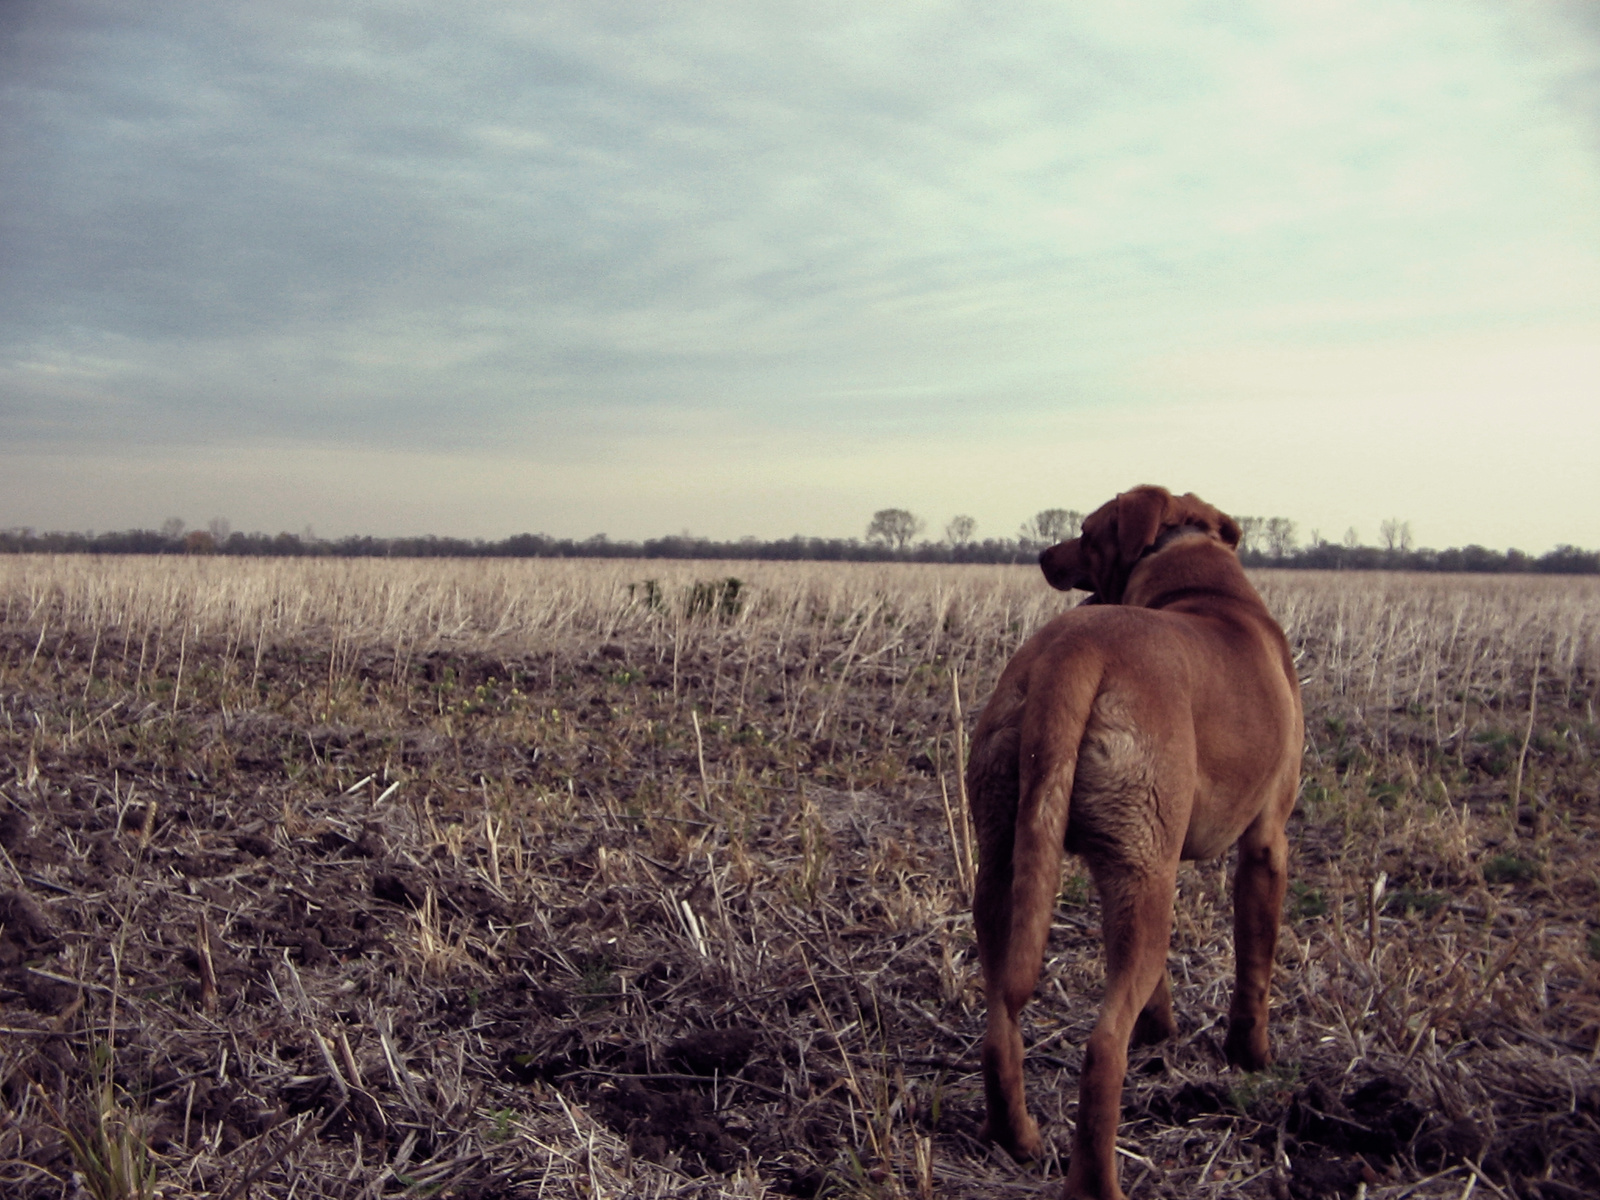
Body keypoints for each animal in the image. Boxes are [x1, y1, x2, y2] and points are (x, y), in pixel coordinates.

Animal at [966, 483, 1305, 1196]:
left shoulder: (1139, 864)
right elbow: (1255, 966)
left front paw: (1163, 1028)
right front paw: (1251, 1056)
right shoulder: (1266, 845)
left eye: (1086, 531)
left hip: (1014, 869)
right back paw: (1098, 1183)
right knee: (1102, 1050)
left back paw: (1017, 1136)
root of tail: (1072, 655)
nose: (1042, 555)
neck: (1201, 586)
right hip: (1146, 886)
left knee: (1000, 1015)